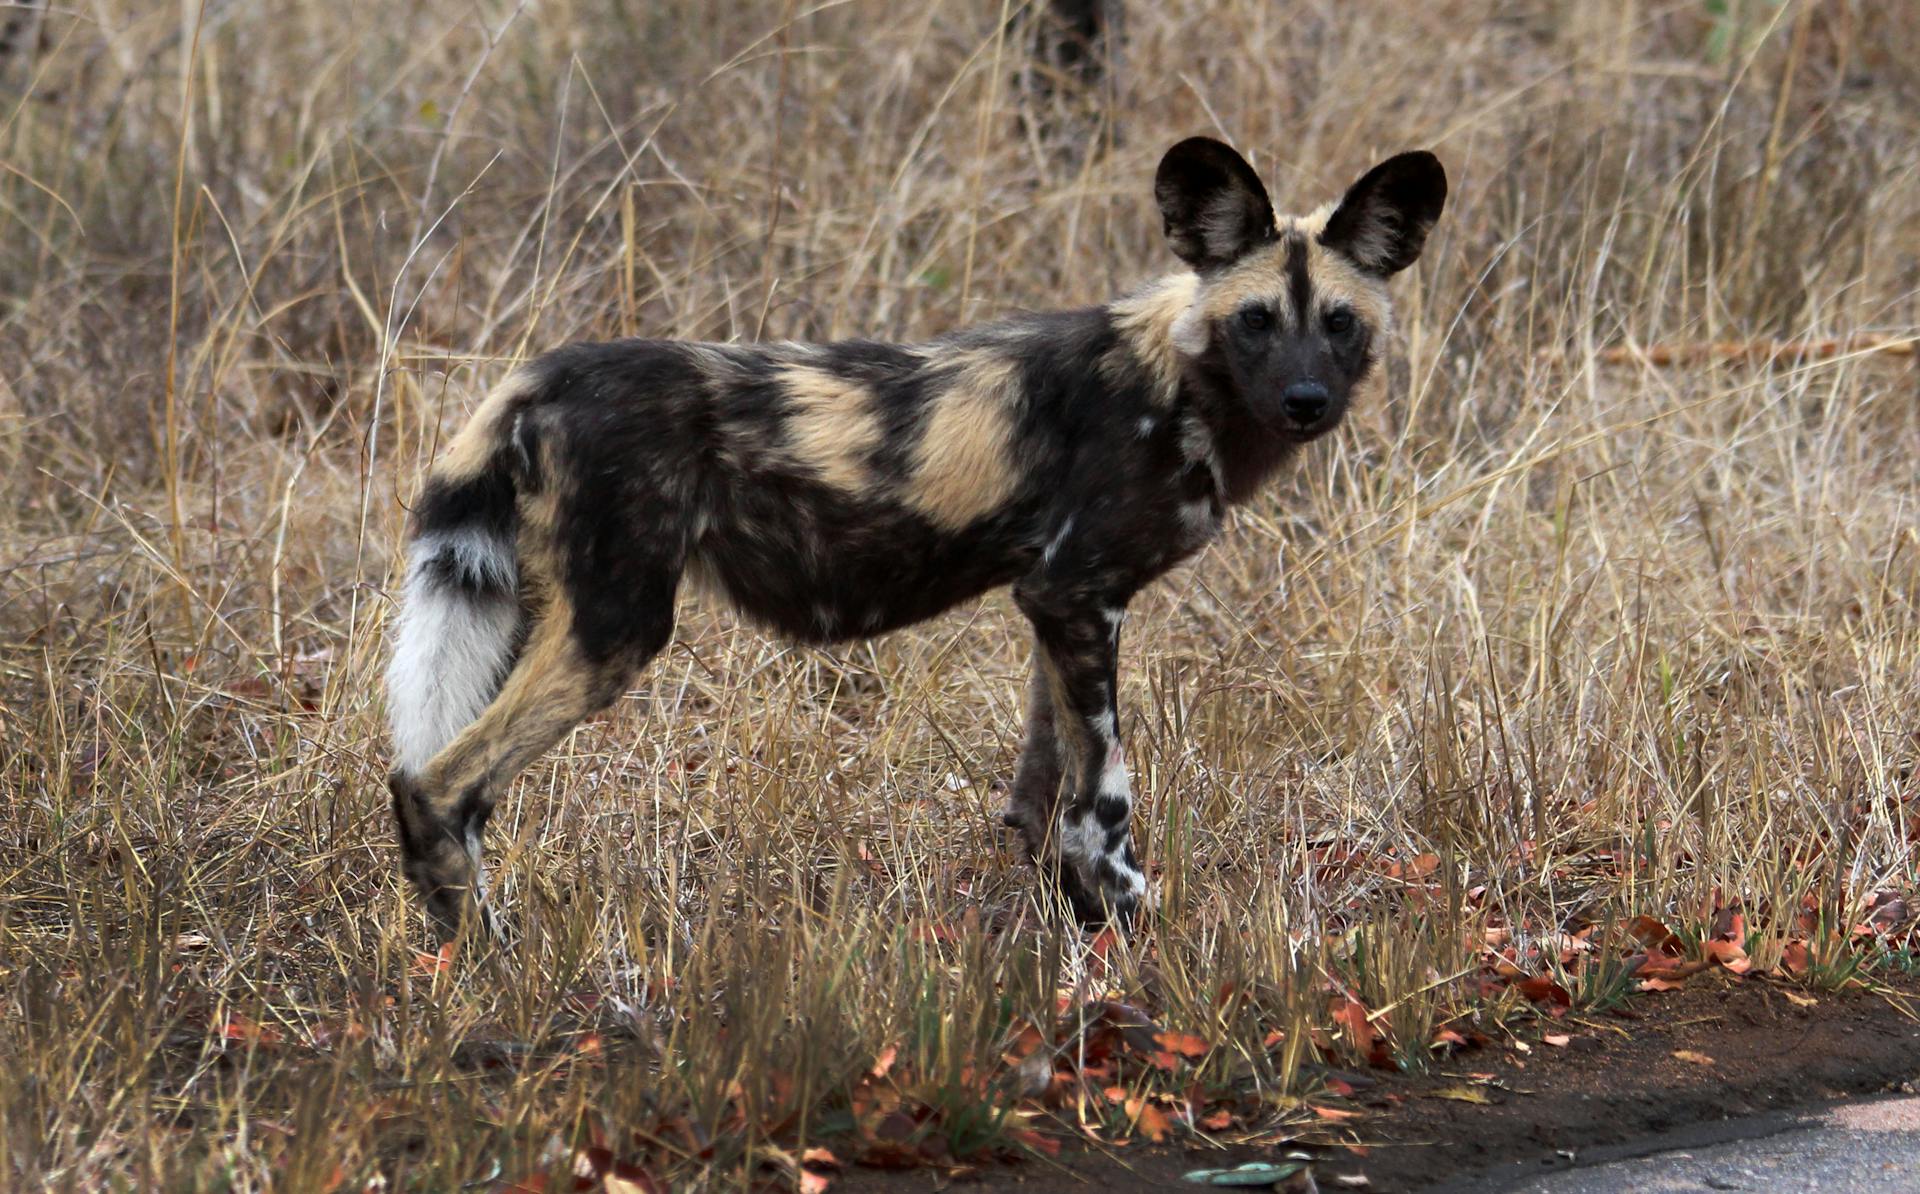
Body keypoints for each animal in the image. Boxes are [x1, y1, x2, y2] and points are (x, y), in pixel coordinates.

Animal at [385, 138, 1443, 944]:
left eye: (1339, 323)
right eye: (1256, 321)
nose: (1306, 401)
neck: (1175, 382)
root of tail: (541, 375)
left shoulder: (1057, 604)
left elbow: (1045, 792)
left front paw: (1070, 923)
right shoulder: (1079, 597)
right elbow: (1106, 797)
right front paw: (1129, 922)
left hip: (532, 616)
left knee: (440, 783)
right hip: (614, 630)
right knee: (438, 787)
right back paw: (493, 962)